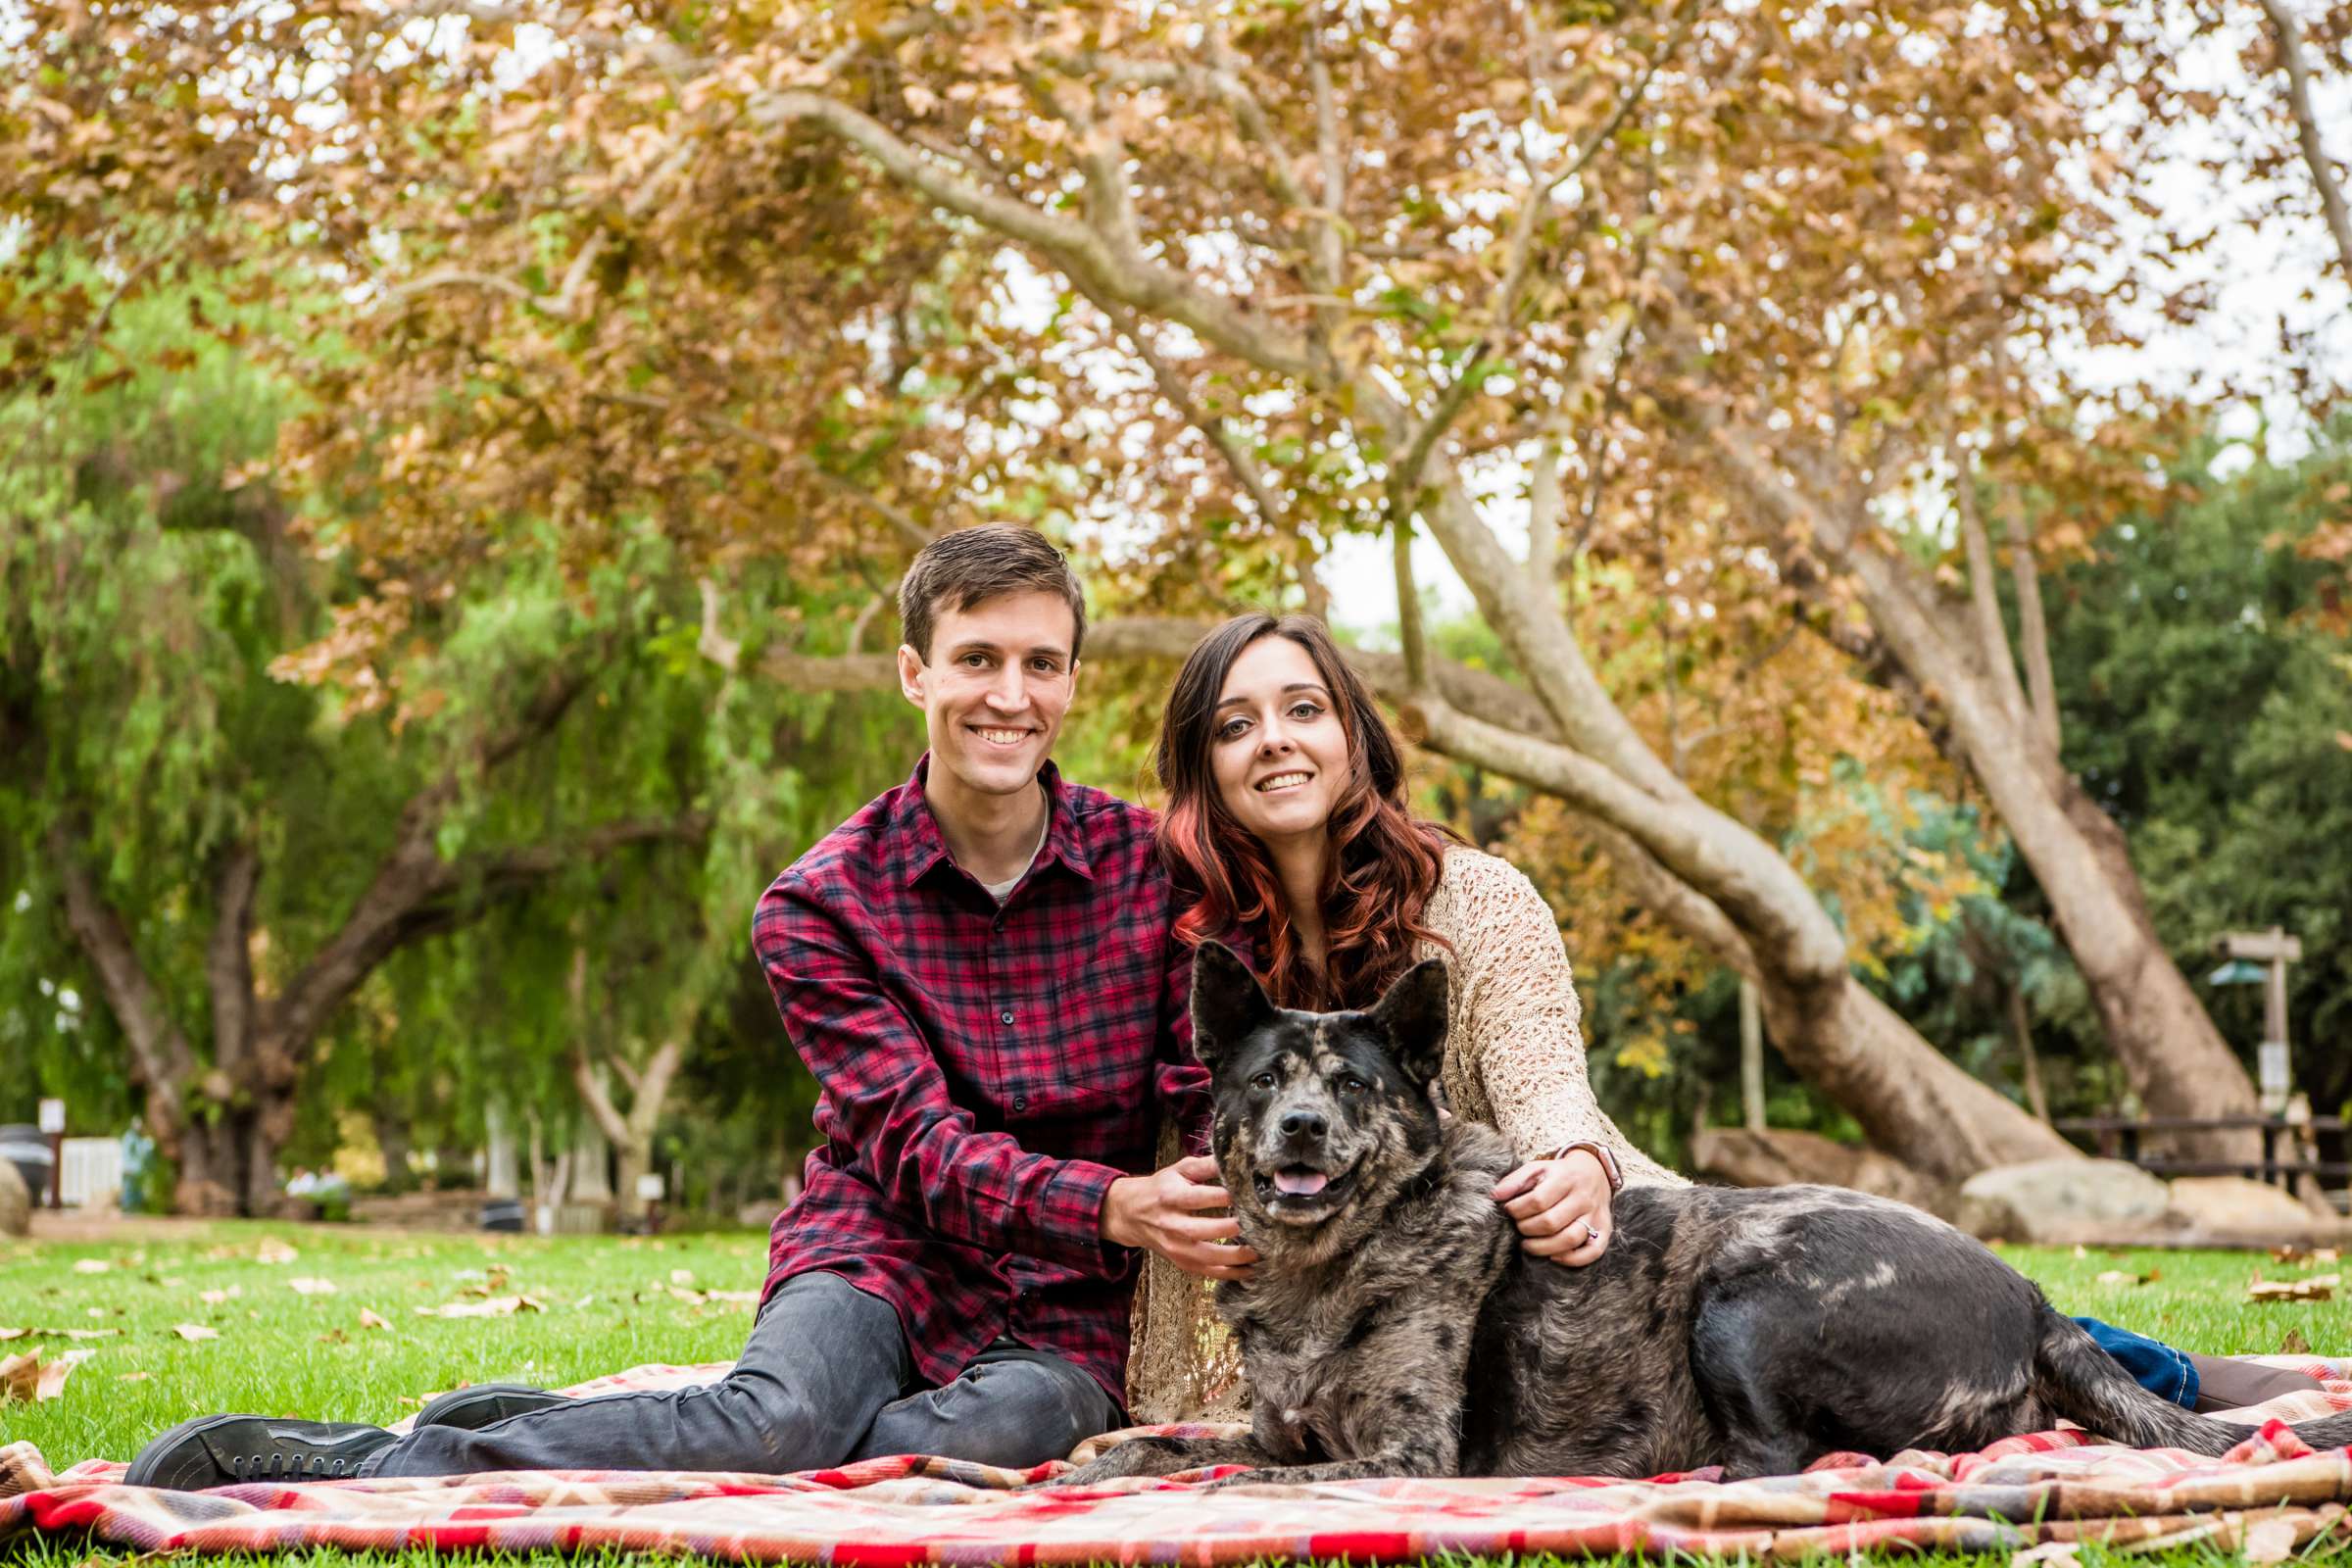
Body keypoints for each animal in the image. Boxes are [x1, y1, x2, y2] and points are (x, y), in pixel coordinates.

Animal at [1067, 940, 2352, 1494]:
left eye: (1351, 1086)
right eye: (1266, 1080)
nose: (1299, 1130)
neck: (1327, 1264)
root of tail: (2033, 1294)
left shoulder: (1405, 1454)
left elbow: (1236, 1479)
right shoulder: (1281, 1425)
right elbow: (1173, 1443)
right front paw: (1096, 1460)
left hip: (1740, 1297)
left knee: (1787, 1461)